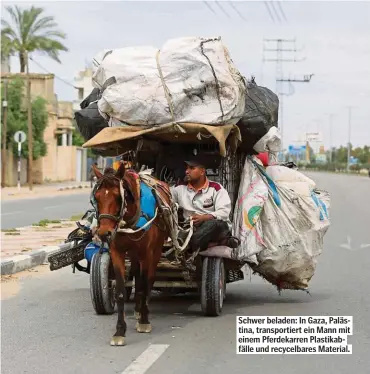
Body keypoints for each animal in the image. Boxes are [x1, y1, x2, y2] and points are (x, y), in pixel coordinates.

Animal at [92, 162, 173, 346]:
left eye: (118, 197)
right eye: (97, 198)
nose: (104, 233)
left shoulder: (146, 253)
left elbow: (144, 285)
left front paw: (144, 321)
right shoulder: (117, 252)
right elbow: (121, 292)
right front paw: (119, 331)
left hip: (155, 250)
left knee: (148, 279)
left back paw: (143, 312)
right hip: (134, 252)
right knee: (136, 273)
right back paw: (137, 309)